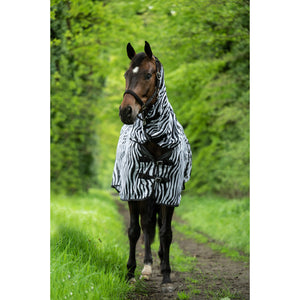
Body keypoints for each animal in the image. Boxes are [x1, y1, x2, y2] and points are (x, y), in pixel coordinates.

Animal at [111, 41, 191, 292]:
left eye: (148, 75)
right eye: (126, 75)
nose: (125, 111)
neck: (156, 141)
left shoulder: (169, 192)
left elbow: (166, 233)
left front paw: (166, 275)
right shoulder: (133, 189)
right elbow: (134, 231)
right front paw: (130, 272)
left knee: (155, 226)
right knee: (146, 226)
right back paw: (146, 267)